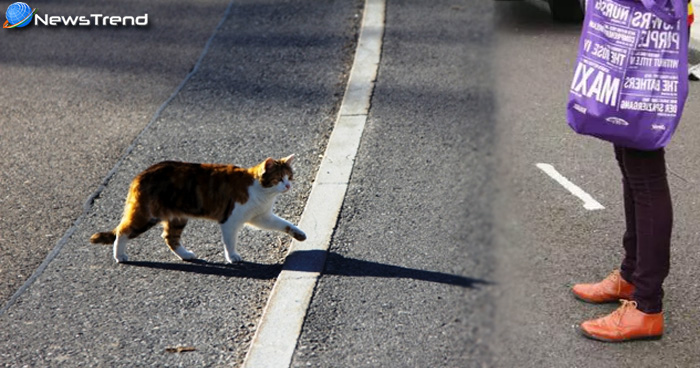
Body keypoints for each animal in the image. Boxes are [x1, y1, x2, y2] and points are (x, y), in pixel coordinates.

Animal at [89, 154, 304, 264]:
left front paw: (299, 234)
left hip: (177, 217)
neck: (263, 192)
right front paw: (232, 257)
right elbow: (229, 241)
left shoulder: (261, 217)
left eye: (290, 177)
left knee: (170, 238)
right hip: (146, 215)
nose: (288, 186)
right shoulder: (230, 220)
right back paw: (119, 255)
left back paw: (185, 255)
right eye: (279, 178)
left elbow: (284, 224)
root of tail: (140, 175)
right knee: (122, 231)